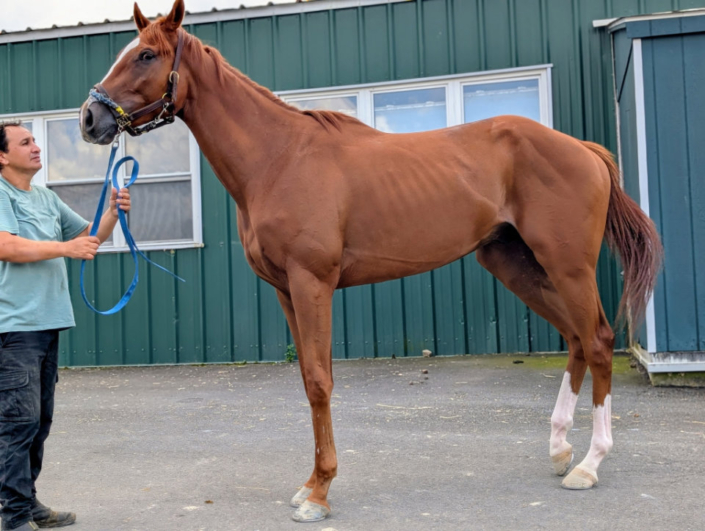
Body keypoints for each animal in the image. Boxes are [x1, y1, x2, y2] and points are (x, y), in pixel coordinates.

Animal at [79, 0, 662, 523]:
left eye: (147, 55)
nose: (90, 118)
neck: (277, 158)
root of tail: (584, 150)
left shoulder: (312, 282)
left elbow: (320, 381)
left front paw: (319, 494)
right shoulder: (286, 290)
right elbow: (310, 380)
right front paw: (310, 483)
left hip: (567, 266)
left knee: (598, 340)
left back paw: (588, 464)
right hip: (517, 265)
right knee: (576, 339)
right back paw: (561, 450)